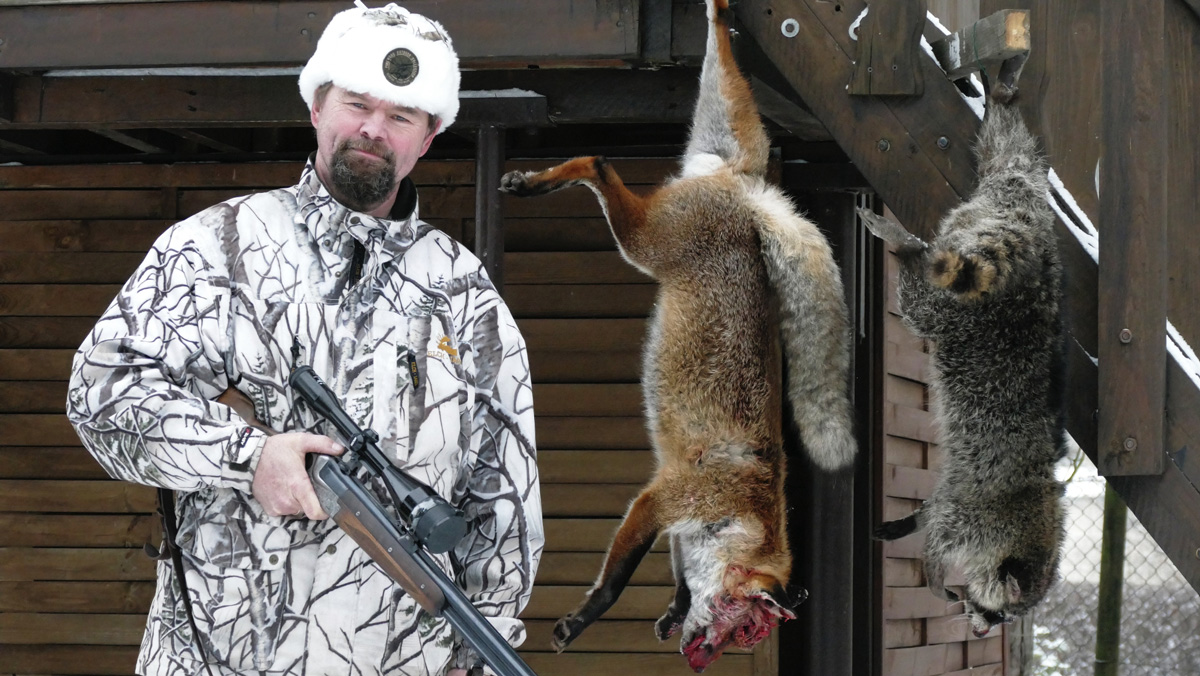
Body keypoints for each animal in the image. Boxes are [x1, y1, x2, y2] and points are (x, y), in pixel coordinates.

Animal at [499, 0, 856, 670]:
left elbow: (680, 572)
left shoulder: (676, 522)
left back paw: (718, 16)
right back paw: (540, 181)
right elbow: (615, 582)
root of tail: (747, 191)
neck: (746, 511)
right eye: (745, 626)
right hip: (643, 242)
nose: (703, 658)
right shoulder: (665, 497)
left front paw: (671, 607)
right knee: (599, 161)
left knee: (712, 73)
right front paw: (582, 620)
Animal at [860, 57, 1067, 638]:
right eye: (997, 613)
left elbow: (932, 509)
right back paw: (907, 250)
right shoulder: (979, 517)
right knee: (920, 305)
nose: (979, 629)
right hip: (962, 311)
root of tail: (1030, 248)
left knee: (1011, 158)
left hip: (1004, 200)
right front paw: (933, 572)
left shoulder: (961, 496)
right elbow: (939, 534)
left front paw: (907, 520)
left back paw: (1003, 99)